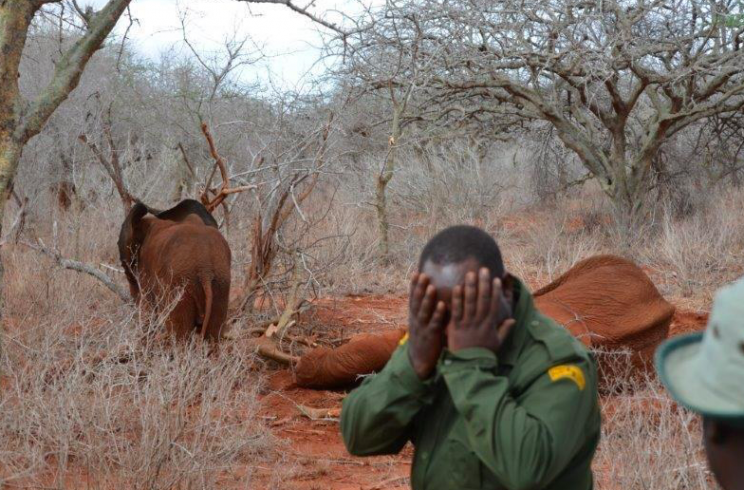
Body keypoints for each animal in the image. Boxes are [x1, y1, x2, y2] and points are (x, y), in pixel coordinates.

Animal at [118, 197, 232, 338]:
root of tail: (205, 271)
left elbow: (148, 309)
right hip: (221, 283)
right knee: (213, 335)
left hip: (180, 288)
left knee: (180, 333)